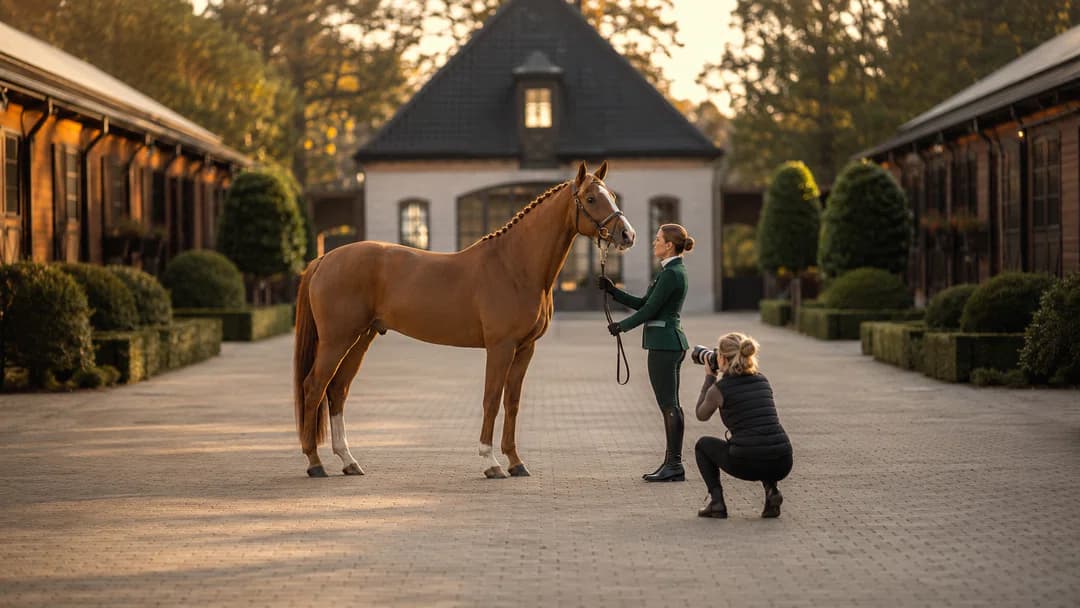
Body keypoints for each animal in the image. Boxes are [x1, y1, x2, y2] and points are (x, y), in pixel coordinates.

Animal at [293, 161, 636, 478]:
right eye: (591, 198)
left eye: (612, 195)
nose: (627, 234)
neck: (514, 266)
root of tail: (325, 258)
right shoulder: (500, 347)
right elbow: (491, 399)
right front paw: (491, 462)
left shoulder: (525, 349)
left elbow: (512, 403)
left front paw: (516, 462)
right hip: (337, 340)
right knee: (314, 387)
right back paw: (314, 462)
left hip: (361, 338)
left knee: (337, 389)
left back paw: (348, 461)